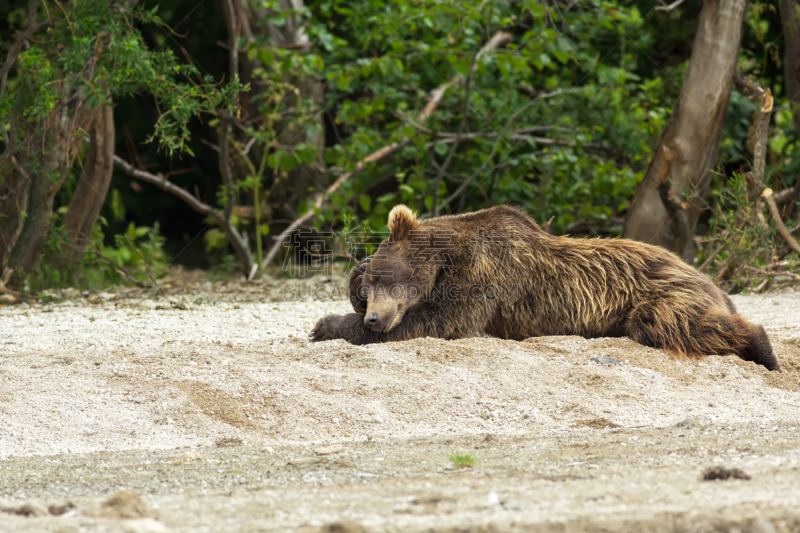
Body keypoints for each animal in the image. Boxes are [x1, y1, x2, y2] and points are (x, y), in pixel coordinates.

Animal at [312, 204, 780, 370]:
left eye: (387, 281)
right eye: (369, 287)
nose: (374, 318)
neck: (447, 258)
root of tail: (711, 281)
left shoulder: (486, 275)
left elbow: (440, 321)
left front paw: (325, 325)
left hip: (658, 291)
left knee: (670, 322)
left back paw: (764, 351)